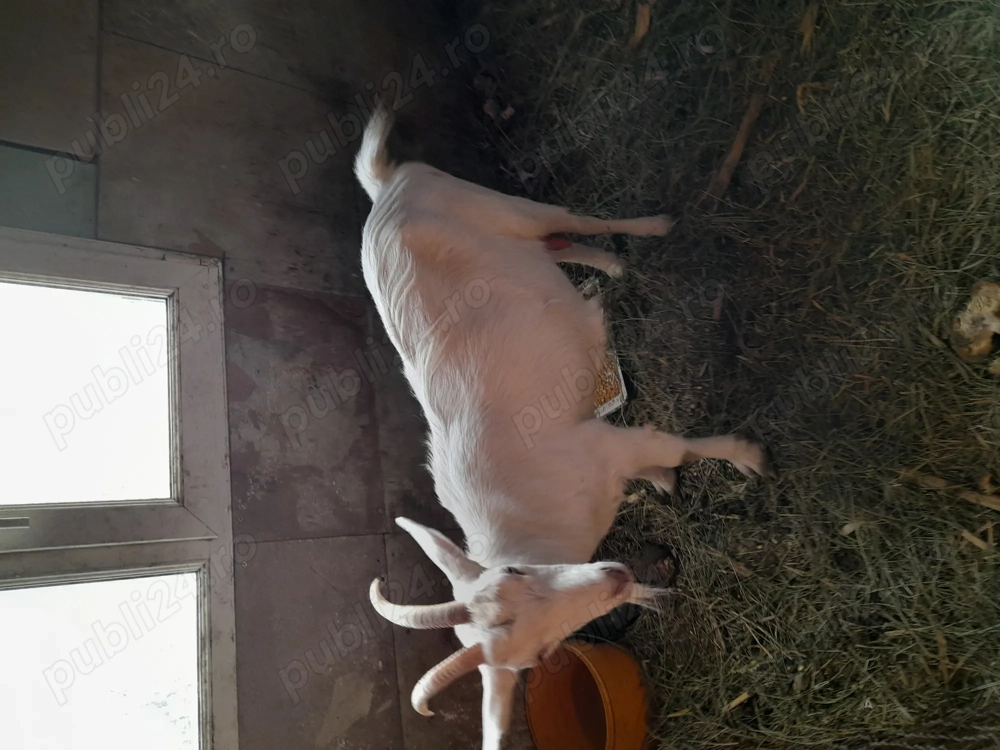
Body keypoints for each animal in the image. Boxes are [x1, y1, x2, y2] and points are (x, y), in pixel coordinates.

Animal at [356, 104, 774, 750]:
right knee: (552, 246)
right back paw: (612, 267)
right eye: (541, 655)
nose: (611, 575)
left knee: (567, 217)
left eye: (518, 572)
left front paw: (746, 456)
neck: (534, 523)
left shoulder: (603, 443)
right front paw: (663, 502)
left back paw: (652, 227)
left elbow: (677, 447)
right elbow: (663, 467)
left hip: (482, 197)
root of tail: (383, 189)